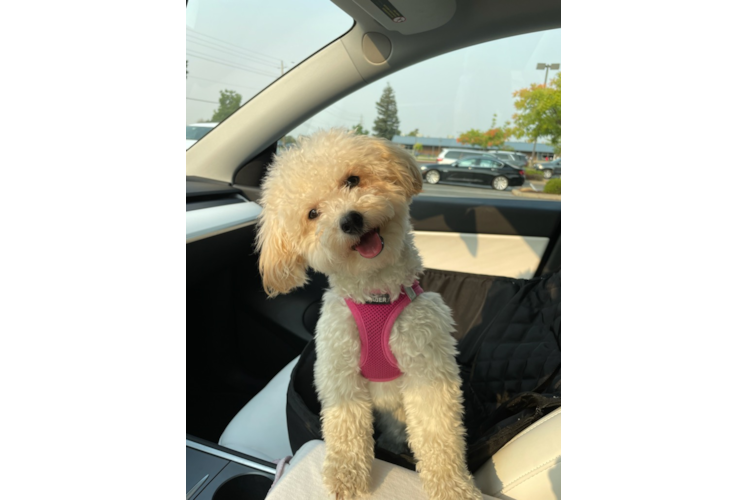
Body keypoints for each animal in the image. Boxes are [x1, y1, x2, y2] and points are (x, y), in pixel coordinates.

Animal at [256, 130, 480, 500]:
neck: (376, 297)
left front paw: (452, 487)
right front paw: (346, 475)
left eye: (352, 180)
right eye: (312, 213)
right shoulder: (339, 368)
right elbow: (346, 425)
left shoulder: (428, 366)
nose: (349, 220)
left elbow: (439, 433)